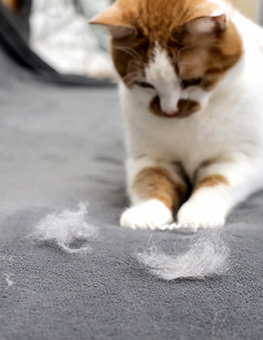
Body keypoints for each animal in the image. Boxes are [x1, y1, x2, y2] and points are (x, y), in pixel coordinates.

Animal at [89, 0, 263, 231]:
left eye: (191, 82)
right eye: (145, 85)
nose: (169, 111)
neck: (191, 123)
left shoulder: (241, 158)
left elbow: (217, 181)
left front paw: (199, 210)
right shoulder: (150, 157)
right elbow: (149, 179)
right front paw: (147, 210)